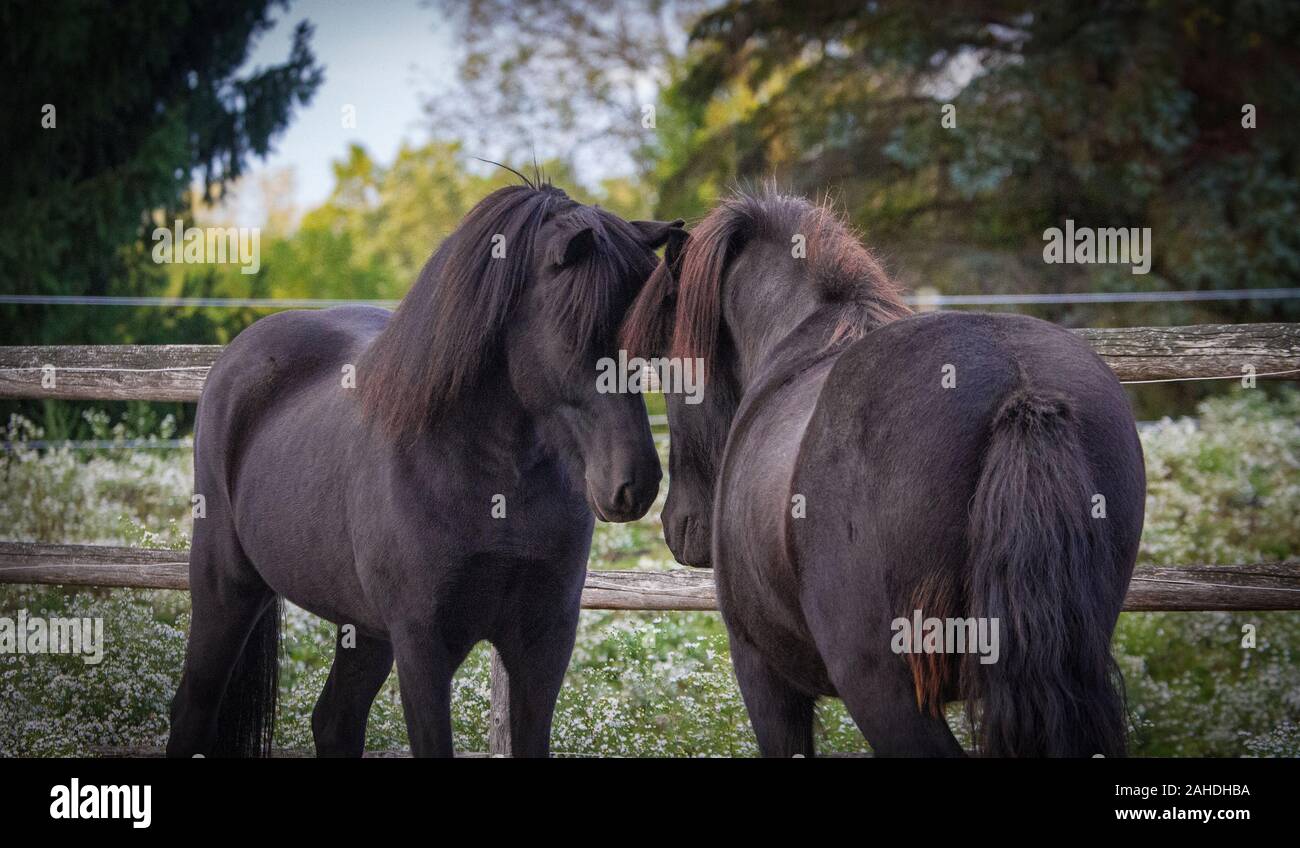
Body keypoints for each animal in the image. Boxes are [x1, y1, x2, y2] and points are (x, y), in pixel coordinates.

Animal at [165, 183, 681, 754]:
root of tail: (234, 359)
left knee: (334, 719)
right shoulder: (422, 643)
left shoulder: (544, 643)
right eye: (574, 335)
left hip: (361, 627)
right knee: (192, 711)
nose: (634, 484)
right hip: (226, 588)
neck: (492, 483)